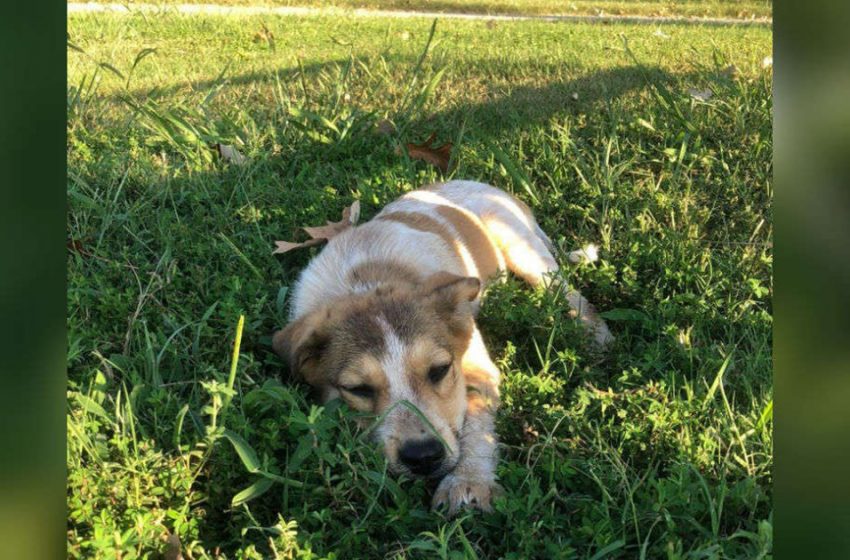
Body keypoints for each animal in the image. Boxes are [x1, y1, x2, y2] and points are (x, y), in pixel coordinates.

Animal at [272, 182, 608, 516]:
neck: (368, 279)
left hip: (523, 250)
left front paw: (470, 479)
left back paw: (595, 333)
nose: (422, 457)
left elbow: (476, 424)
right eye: (358, 389)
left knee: (565, 290)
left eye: (439, 370)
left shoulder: (479, 369)